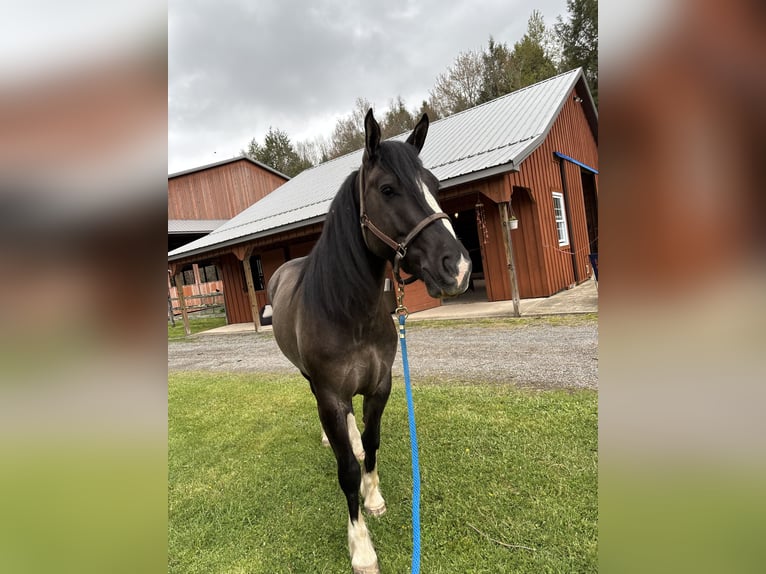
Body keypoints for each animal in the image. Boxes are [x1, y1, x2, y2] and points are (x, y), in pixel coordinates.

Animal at [268, 109, 471, 573]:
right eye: (387, 189)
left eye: (434, 185)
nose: (458, 266)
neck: (349, 313)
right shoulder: (331, 395)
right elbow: (344, 471)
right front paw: (361, 547)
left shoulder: (380, 386)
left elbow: (374, 442)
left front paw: (373, 495)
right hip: (312, 381)